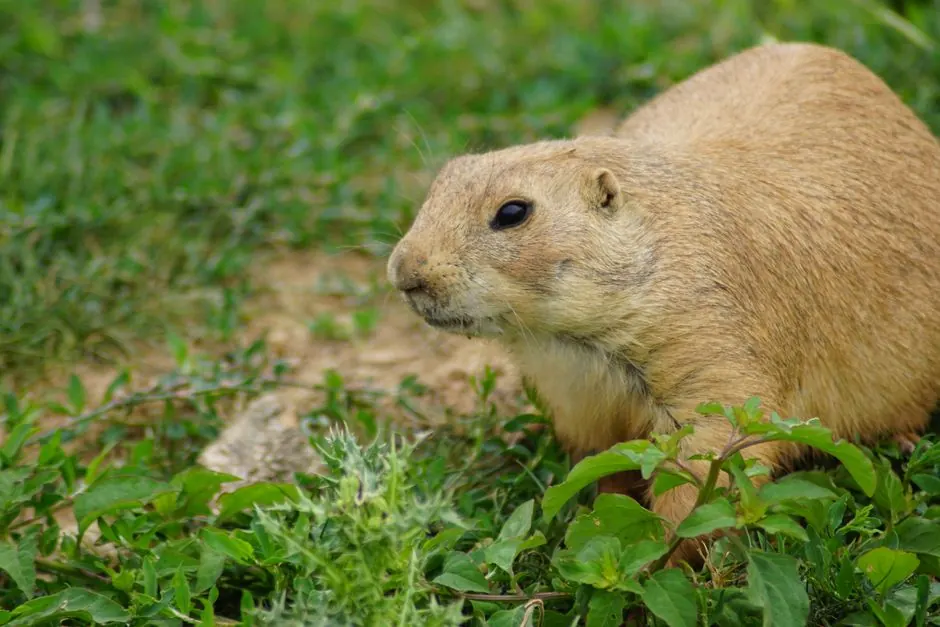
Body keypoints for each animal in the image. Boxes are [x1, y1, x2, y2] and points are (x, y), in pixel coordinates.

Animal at [386, 41, 940, 564]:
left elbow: (708, 461)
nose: (404, 273)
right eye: (439, 183)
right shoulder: (575, 395)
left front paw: (661, 557)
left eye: (513, 212)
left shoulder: (713, 347)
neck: (571, 342)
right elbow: (603, 457)